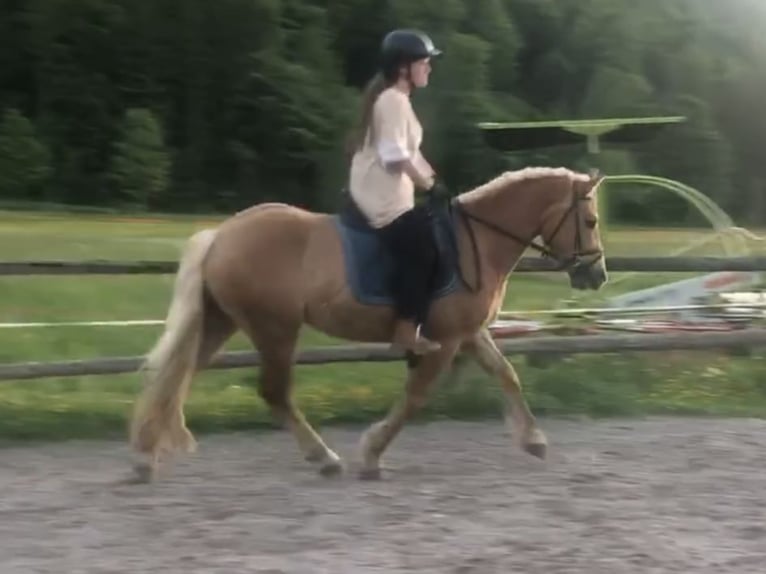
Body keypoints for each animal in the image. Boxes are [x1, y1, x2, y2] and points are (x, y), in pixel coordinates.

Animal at [129, 166, 607, 481]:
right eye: (590, 220)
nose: (596, 275)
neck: (478, 244)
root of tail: (222, 235)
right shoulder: (445, 339)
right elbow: (415, 397)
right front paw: (372, 454)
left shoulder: (468, 333)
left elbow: (506, 374)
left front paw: (534, 440)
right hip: (275, 329)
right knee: (273, 393)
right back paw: (324, 457)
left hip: (222, 321)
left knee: (176, 375)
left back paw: (145, 456)